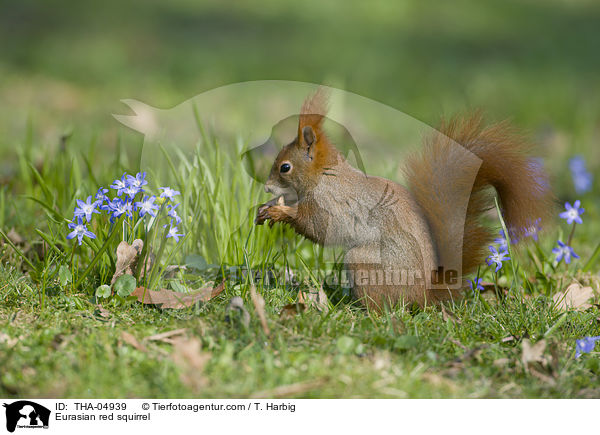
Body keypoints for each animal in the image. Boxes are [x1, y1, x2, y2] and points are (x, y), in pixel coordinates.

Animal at [253, 90, 552, 312]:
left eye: (285, 168)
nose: (266, 187)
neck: (325, 175)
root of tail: (424, 296)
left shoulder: (331, 204)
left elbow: (316, 227)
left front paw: (278, 212)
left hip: (365, 262)